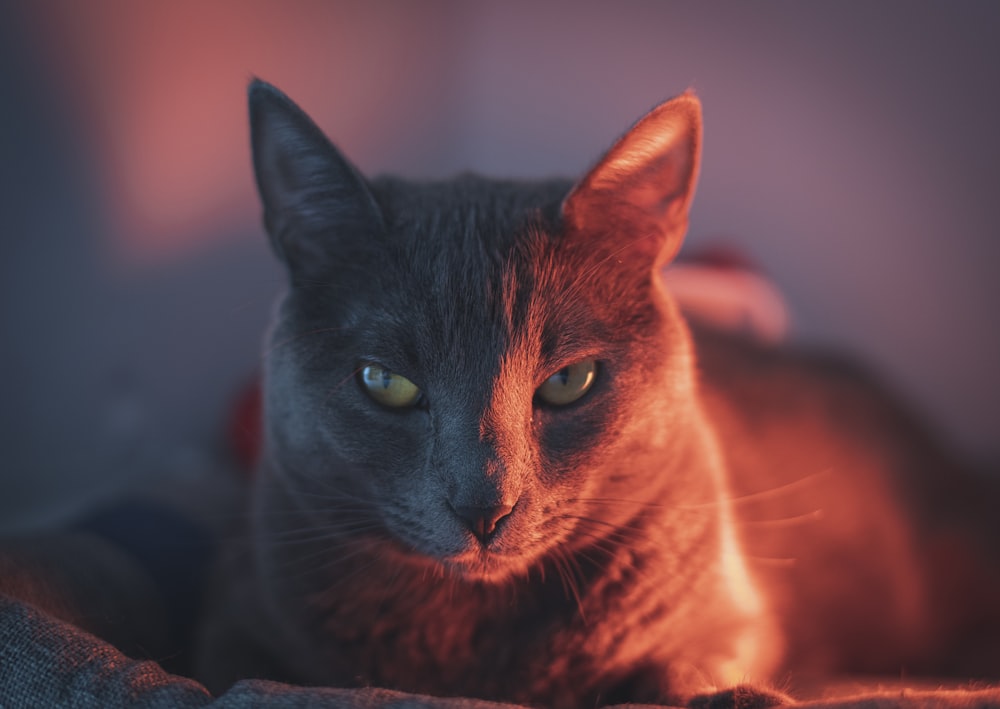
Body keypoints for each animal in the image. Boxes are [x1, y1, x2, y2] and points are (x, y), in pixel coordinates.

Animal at [195, 80, 1000, 704]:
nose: (484, 507)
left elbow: (690, 664)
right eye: (386, 383)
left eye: (568, 382)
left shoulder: (733, 616)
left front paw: (731, 693)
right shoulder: (235, 612)